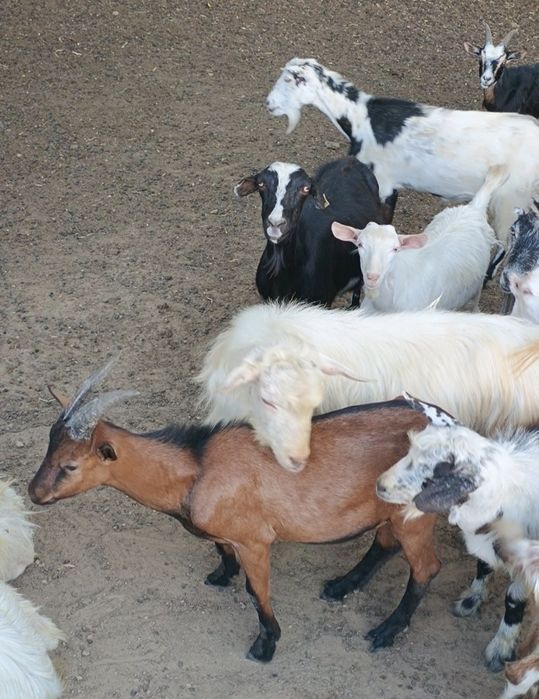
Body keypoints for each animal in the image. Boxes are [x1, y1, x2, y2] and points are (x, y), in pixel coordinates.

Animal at [28, 361, 441, 662]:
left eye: (70, 466)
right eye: (48, 445)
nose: (34, 493)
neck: (197, 466)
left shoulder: (255, 540)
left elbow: (256, 591)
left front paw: (265, 645)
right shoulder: (227, 534)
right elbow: (220, 549)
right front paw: (220, 575)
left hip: (415, 516)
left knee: (425, 568)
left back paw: (385, 631)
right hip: (391, 511)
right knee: (385, 543)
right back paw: (340, 586)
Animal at [376, 395, 539, 673]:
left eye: (433, 475)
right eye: (409, 452)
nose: (380, 485)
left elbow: (513, 601)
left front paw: (500, 649)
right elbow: (483, 566)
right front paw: (471, 600)